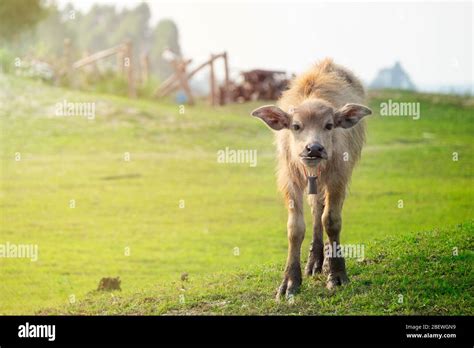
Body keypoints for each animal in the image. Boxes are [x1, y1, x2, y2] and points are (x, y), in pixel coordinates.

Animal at [250, 58, 372, 298]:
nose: (314, 148)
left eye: (329, 125)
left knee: (325, 211)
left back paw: (324, 261)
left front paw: (336, 274)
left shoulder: (338, 177)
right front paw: (290, 282)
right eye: (296, 126)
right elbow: (295, 228)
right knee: (316, 208)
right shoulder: (291, 180)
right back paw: (315, 260)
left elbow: (332, 221)